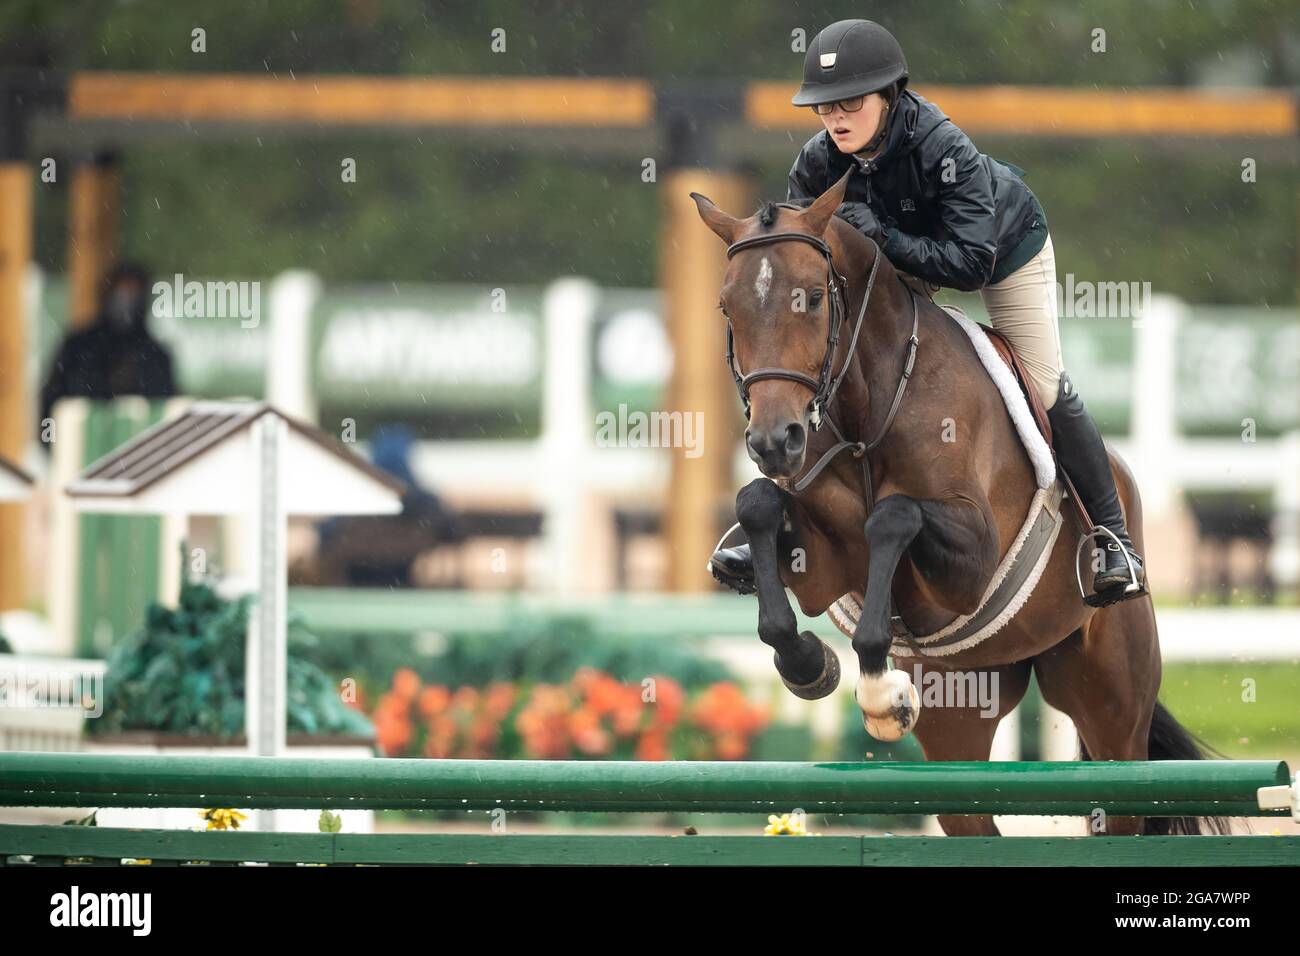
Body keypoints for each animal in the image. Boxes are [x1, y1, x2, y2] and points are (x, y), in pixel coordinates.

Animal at [691, 171, 1216, 837]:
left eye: (810, 297)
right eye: (726, 306)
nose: (772, 441)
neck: (868, 406)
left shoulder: (972, 560)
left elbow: (893, 515)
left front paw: (878, 689)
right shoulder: (822, 557)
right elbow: (759, 504)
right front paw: (810, 664)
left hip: (1112, 703)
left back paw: (1113, 562)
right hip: (961, 709)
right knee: (974, 819)